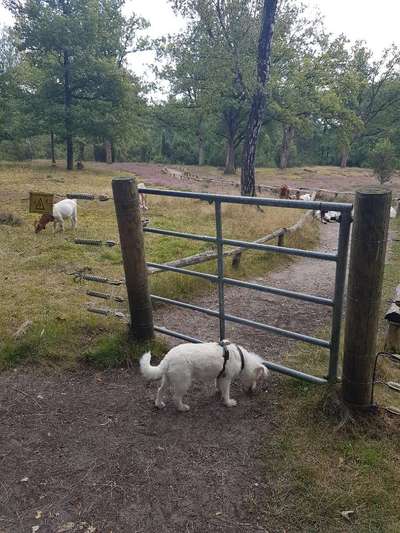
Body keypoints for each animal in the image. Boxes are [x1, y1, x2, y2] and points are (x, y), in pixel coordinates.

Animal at [140, 340, 268, 412]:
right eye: (257, 379)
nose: (252, 390)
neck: (241, 358)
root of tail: (168, 357)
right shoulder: (226, 378)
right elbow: (226, 392)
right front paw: (228, 403)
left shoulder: (220, 375)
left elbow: (219, 385)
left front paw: (219, 392)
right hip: (183, 382)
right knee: (176, 397)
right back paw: (182, 408)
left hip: (168, 379)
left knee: (160, 390)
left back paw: (159, 404)